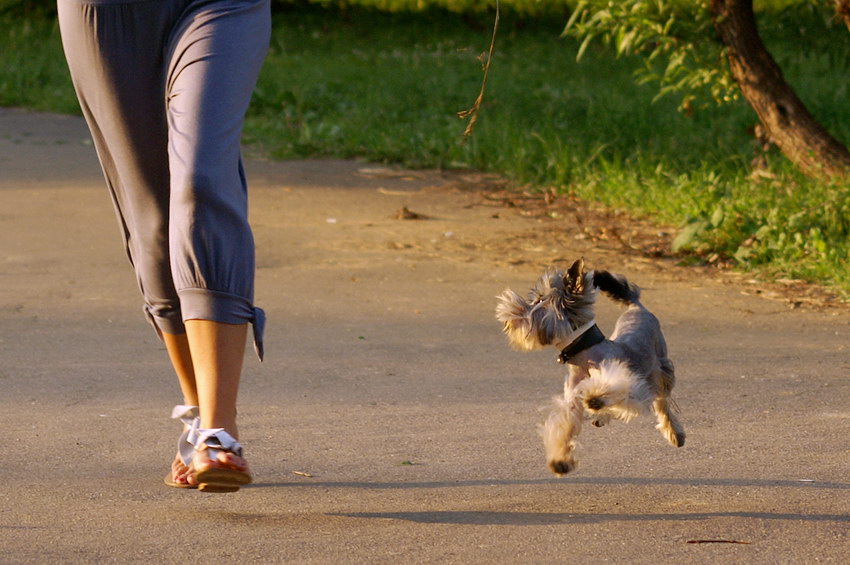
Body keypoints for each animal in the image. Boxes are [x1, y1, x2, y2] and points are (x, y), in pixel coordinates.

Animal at [496, 260, 684, 476]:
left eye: (540, 300)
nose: (509, 319)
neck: (584, 353)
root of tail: (636, 307)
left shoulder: (632, 384)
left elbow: (611, 389)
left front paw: (594, 397)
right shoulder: (572, 402)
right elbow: (566, 428)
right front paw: (560, 461)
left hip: (661, 370)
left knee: (662, 403)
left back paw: (674, 433)